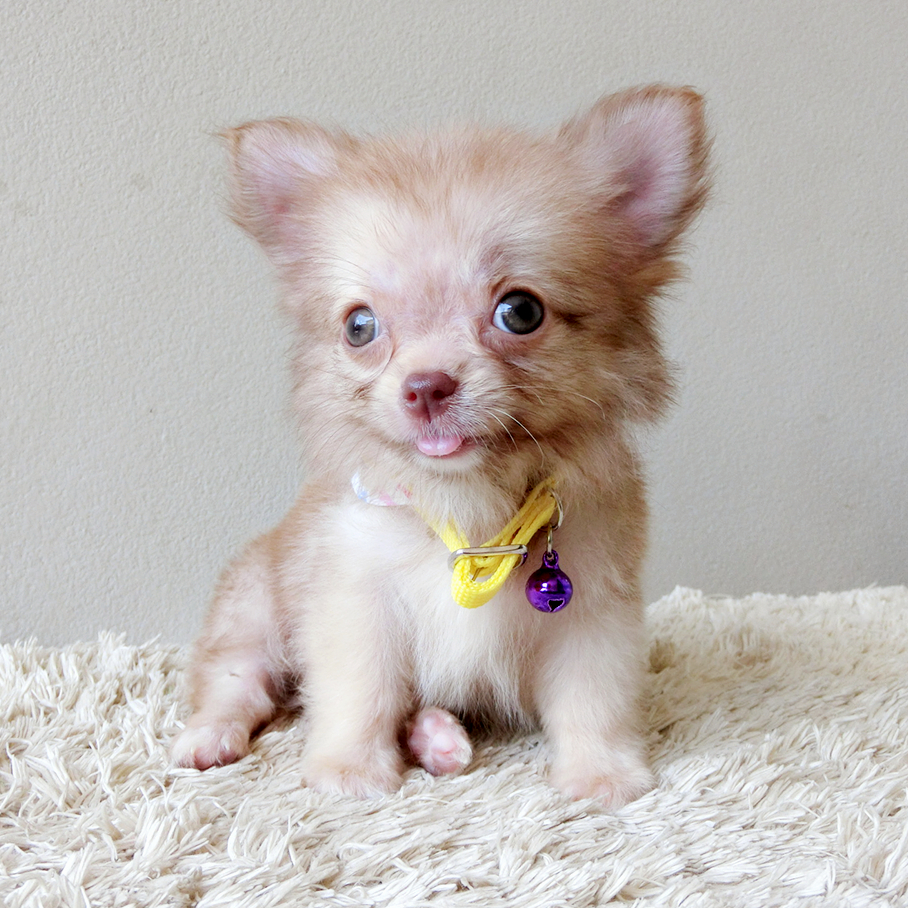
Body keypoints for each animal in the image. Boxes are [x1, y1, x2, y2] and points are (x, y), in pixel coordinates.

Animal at [172, 86, 709, 809]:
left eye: (520, 311)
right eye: (360, 327)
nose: (425, 386)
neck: (467, 506)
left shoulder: (592, 615)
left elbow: (591, 703)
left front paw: (601, 775)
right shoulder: (357, 603)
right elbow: (362, 694)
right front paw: (349, 769)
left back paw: (437, 738)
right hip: (252, 615)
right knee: (235, 684)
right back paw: (211, 738)